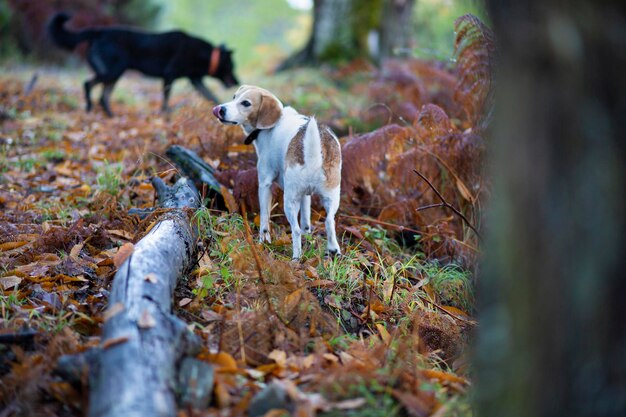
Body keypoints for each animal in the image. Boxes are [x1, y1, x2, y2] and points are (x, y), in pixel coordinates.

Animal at [48, 12, 239, 116]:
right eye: (232, 66)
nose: (237, 82)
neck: (204, 55)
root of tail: (98, 31)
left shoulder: (195, 80)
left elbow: (211, 96)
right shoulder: (169, 76)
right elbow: (166, 100)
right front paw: (165, 114)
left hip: (114, 75)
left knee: (103, 97)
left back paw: (111, 116)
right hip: (113, 71)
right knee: (88, 84)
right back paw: (88, 108)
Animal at [213, 85, 342, 258]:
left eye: (246, 103)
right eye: (234, 97)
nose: (220, 109)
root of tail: (315, 157)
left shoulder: (264, 185)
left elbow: (264, 219)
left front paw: (263, 241)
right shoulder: (305, 195)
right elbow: (306, 220)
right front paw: (308, 236)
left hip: (290, 200)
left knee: (295, 230)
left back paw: (296, 257)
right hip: (331, 197)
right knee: (329, 221)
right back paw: (333, 250)